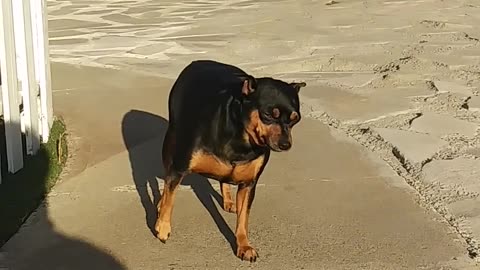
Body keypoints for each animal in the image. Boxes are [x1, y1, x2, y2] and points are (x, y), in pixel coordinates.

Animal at [156, 59, 306, 262]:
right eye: (268, 115)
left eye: (295, 120)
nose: (285, 144)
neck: (242, 140)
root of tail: (197, 62)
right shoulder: (179, 168)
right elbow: (170, 198)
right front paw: (163, 227)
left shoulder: (249, 184)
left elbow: (243, 218)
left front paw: (244, 245)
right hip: (171, 140)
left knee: (224, 180)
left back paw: (227, 200)